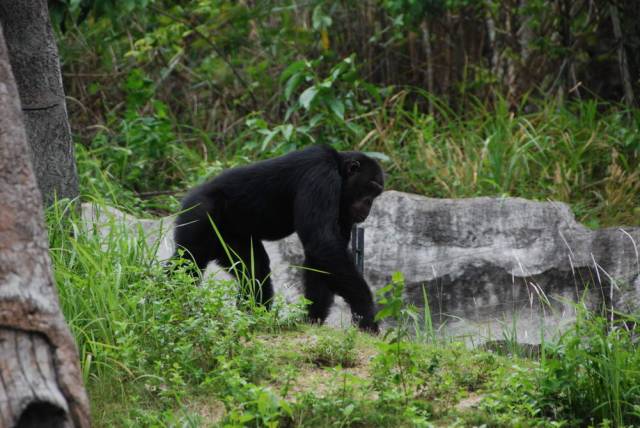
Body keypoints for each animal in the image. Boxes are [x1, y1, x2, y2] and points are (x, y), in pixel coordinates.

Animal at [172, 146, 382, 332]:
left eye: (376, 193)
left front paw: (312, 319)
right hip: (198, 216)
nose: (369, 206)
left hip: (229, 237)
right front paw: (366, 313)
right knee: (187, 263)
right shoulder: (321, 174)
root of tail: (188, 198)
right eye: (371, 188)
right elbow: (322, 243)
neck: (338, 170)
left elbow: (323, 256)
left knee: (254, 269)